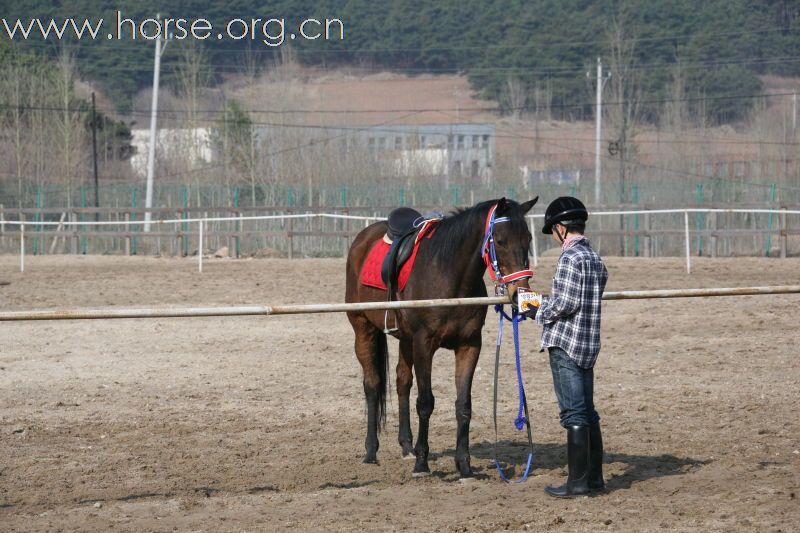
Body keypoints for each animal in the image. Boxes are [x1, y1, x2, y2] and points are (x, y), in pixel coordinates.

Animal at [342, 195, 536, 478]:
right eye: (500, 241)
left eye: (528, 238)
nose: (520, 294)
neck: (450, 276)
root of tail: (363, 239)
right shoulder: (424, 345)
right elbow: (425, 402)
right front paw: (422, 463)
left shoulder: (469, 345)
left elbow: (463, 405)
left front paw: (464, 464)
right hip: (364, 328)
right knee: (373, 385)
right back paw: (371, 451)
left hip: (405, 340)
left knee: (402, 382)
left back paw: (406, 446)